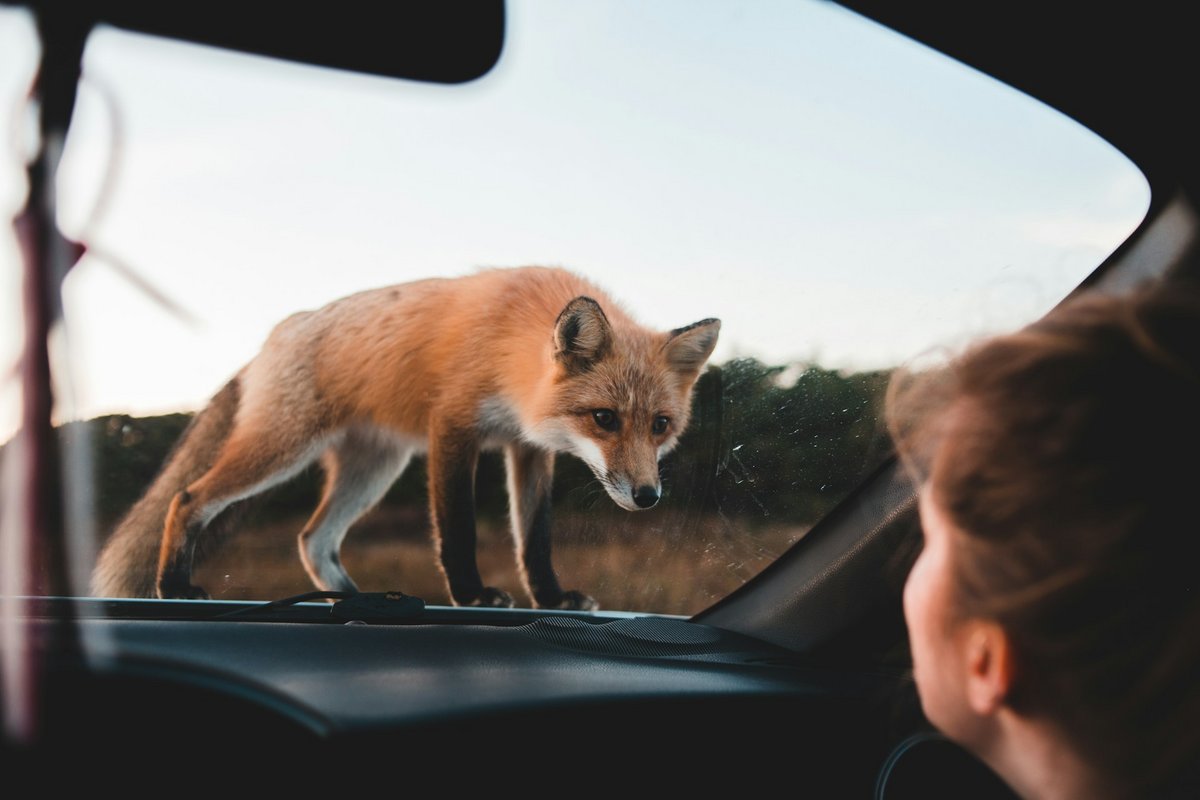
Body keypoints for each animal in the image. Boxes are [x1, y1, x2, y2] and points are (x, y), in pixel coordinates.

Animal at [91, 266, 720, 609]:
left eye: (660, 425)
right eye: (605, 419)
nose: (647, 497)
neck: (510, 344)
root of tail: (279, 333)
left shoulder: (527, 447)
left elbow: (534, 541)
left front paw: (550, 598)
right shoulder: (454, 427)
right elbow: (458, 530)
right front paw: (472, 595)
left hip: (374, 469)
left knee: (313, 539)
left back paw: (349, 600)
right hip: (284, 449)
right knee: (187, 497)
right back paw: (173, 586)